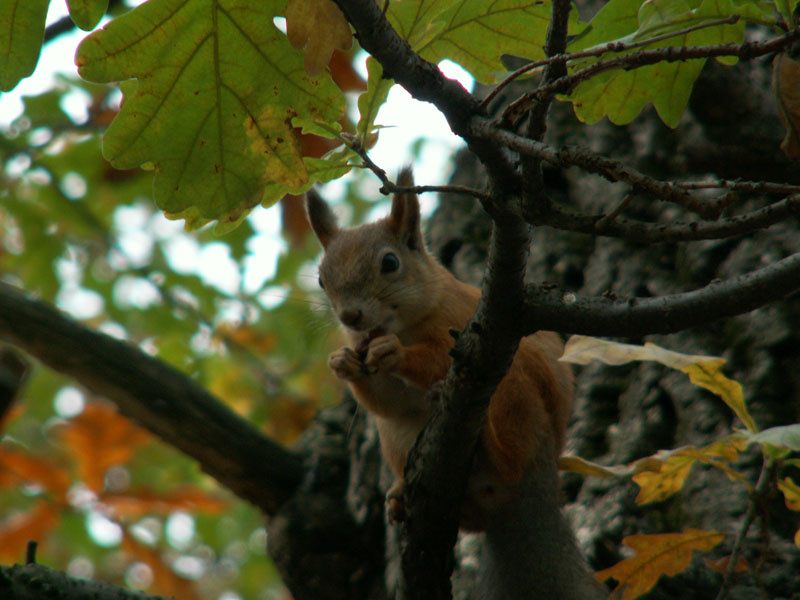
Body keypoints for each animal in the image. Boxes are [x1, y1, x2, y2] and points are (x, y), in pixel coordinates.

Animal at [305, 168, 605, 599]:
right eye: (321, 279)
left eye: (390, 262)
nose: (350, 316)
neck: (405, 323)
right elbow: (387, 403)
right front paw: (343, 363)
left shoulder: (463, 326)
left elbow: (434, 361)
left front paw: (397, 354)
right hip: (396, 439)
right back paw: (400, 498)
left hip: (512, 396)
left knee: (509, 462)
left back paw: (490, 453)